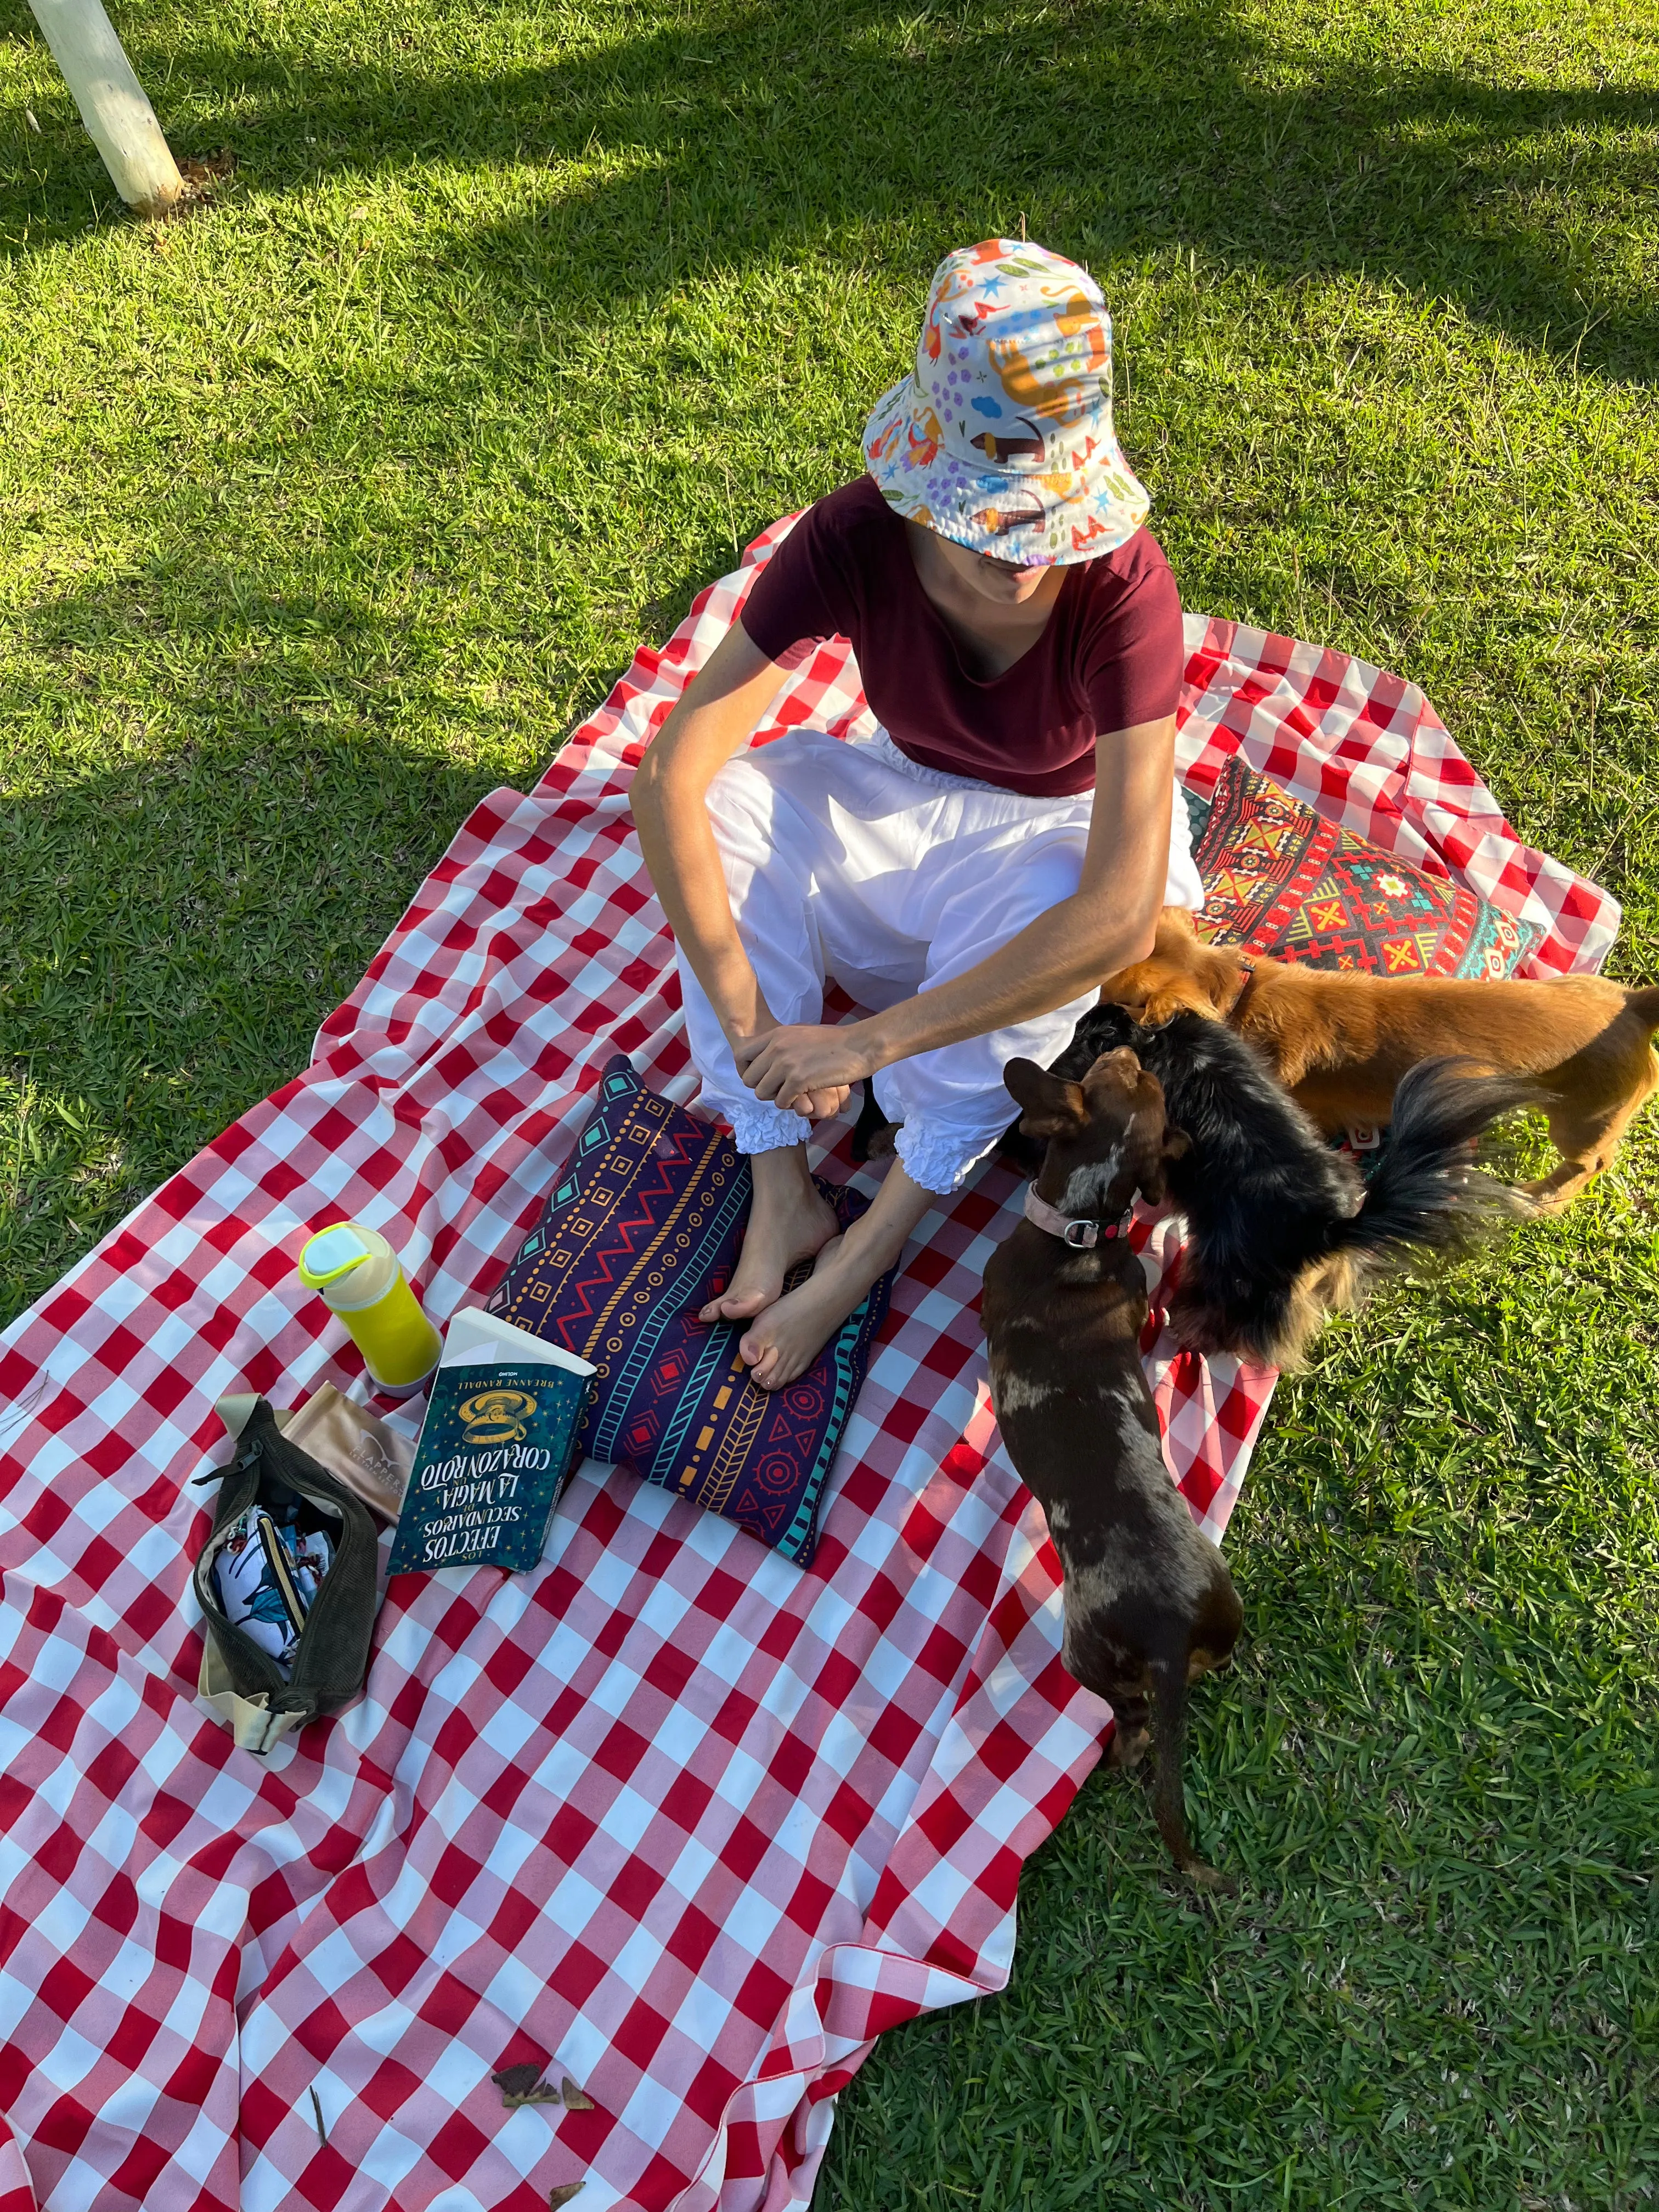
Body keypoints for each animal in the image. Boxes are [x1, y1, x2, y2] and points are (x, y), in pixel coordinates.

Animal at [982, 1048, 1238, 1884]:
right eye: (1132, 1078)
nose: (1128, 1049)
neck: (1079, 1233)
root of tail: (1166, 1637)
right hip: (1223, 1618)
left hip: (1083, 1655)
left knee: (1131, 1729)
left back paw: (1123, 1752)